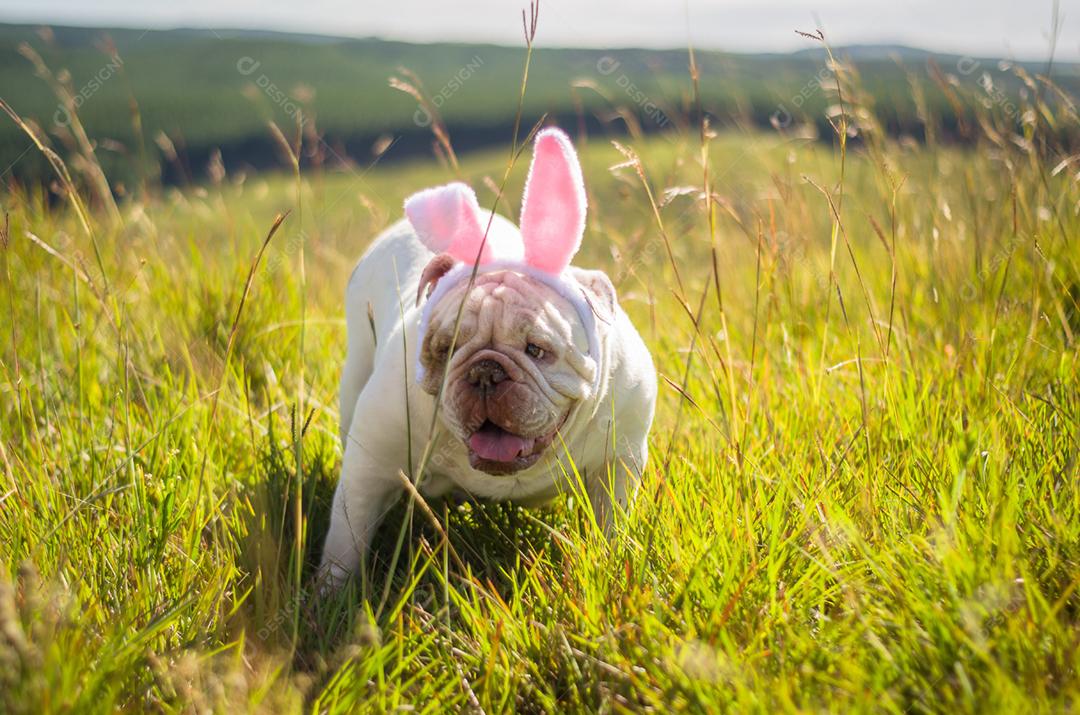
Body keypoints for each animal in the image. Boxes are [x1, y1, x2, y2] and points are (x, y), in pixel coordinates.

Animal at [317, 127, 656, 587]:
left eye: (537, 350)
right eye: (445, 349)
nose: (485, 372)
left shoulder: (617, 462)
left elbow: (610, 523)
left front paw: (609, 565)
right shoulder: (370, 461)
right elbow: (346, 539)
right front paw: (333, 594)